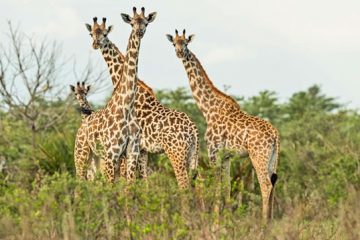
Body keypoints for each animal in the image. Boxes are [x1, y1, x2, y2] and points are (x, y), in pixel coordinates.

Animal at [74, 7, 155, 183]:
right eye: (132, 22)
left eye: (146, 23)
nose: (139, 32)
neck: (127, 106)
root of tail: (83, 124)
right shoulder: (112, 154)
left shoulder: (132, 152)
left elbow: (130, 185)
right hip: (82, 155)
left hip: (96, 159)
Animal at [85, 15, 200, 188]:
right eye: (91, 34)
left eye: (105, 34)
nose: (95, 44)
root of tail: (193, 129)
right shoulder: (143, 150)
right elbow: (144, 181)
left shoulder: (132, 149)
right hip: (193, 155)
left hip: (177, 153)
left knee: (184, 184)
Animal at [167, 29, 282, 219]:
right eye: (173, 43)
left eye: (186, 43)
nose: (179, 52)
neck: (208, 109)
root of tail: (275, 135)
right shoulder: (227, 155)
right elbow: (227, 187)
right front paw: (227, 218)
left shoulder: (214, 152)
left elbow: (217, 186)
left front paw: (216, 221)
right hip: (273, 158)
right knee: (273, 184)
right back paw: (272, 221)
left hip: (258, 156)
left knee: (265, 185)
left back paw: (263, 222)